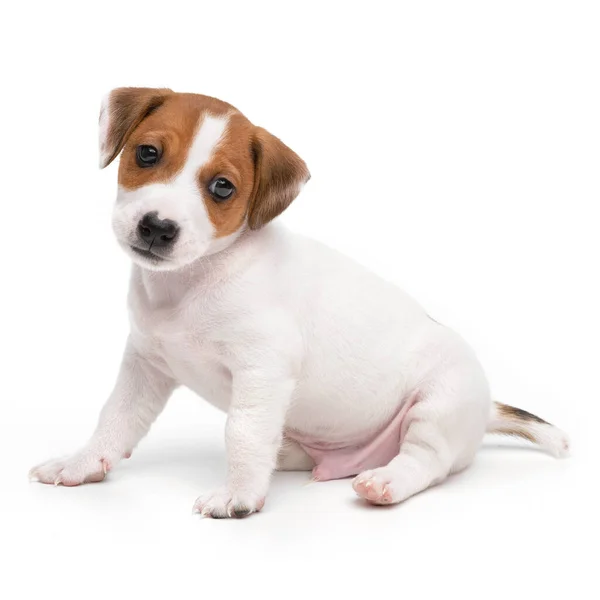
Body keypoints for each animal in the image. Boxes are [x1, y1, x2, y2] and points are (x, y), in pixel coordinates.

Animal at [29, 88, 572, 516]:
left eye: (222, 187)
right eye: (146, 153)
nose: (157, 227)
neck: (192, 282)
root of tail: (485, 407)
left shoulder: (263, 370)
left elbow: (244, 432)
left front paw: (239, 496)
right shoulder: (145, 365)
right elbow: (115, 419)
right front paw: (82, 463)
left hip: (439, 405)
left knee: (426, 461)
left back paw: (386, 482)